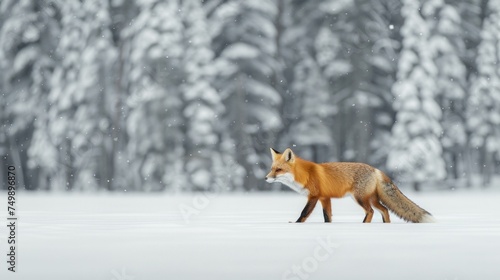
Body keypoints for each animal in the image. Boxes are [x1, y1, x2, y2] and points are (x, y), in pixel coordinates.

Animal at [266, 149, 434, 223]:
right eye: (272, 168)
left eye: (278, 170)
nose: (266, 178)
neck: (305, 175)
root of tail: (376, 169)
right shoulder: (325, 198)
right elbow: (327, 216)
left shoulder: (314, 196)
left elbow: (304, 213)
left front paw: (296, 225)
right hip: (372, 199)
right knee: (384, 210)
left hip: (360, 198)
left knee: (371, 211)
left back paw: (364, 225)